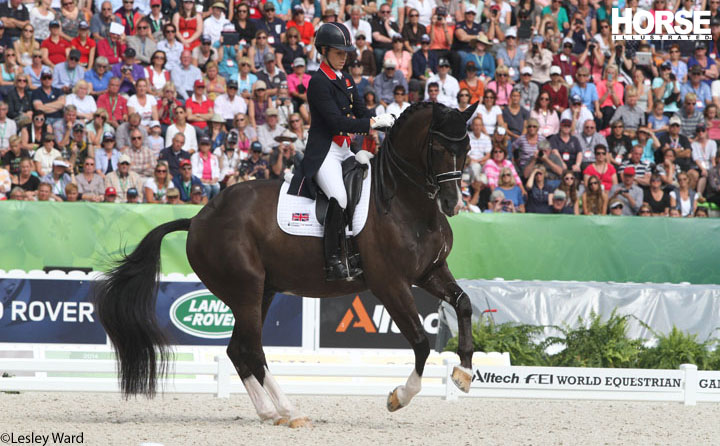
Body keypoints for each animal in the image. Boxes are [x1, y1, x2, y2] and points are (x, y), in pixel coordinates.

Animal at [94, 100, 478, 426]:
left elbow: (464, 305)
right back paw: (289, 411)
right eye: (439, 149)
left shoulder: (430, 272)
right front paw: (400, 396)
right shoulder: (390, 284)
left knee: (238, 350)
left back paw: (270, 412)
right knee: (252, 350)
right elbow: (421, 341)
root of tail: (199, 218)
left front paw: (464, 374)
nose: (452, 203)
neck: (404, 203)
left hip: (261, 291)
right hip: (246, 290)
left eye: (467, 149)